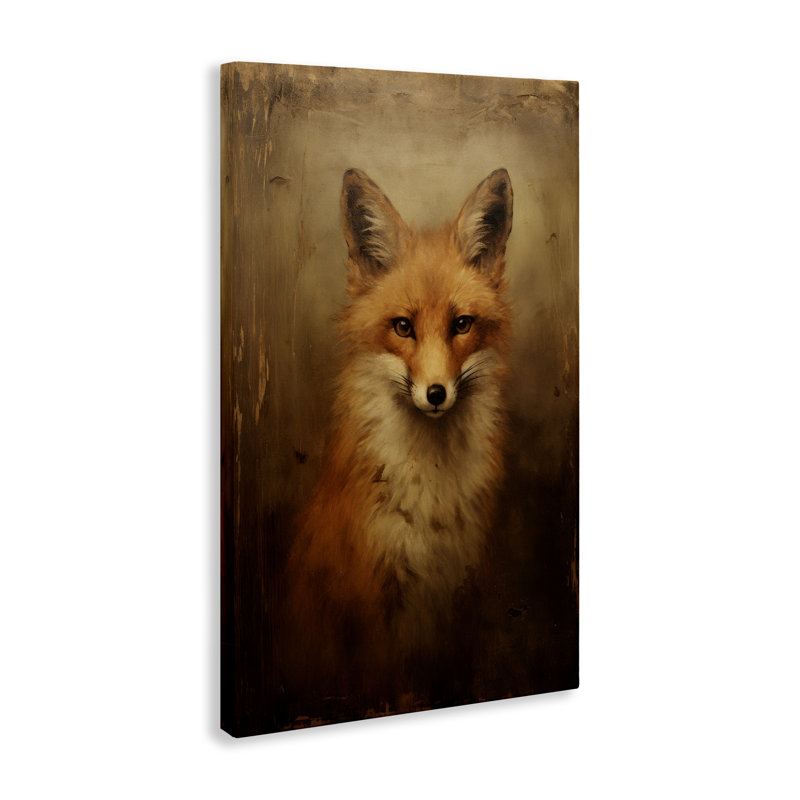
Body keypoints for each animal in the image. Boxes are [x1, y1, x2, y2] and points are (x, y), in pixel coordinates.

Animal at [283, 167, 514, 711]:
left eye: (462, 325)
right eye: (403, 327)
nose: (436, 394)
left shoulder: (460, 591)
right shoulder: (372, 599)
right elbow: (388, 689)